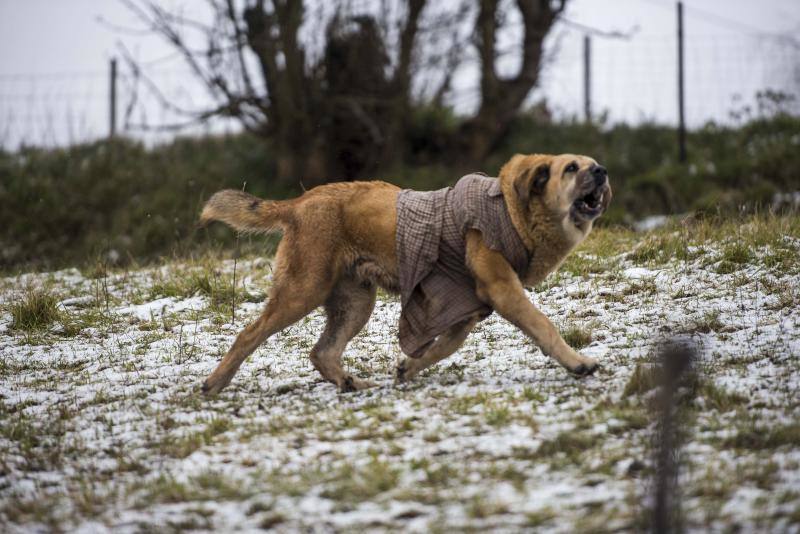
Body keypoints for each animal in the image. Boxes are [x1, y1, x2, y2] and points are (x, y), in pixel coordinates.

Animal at [200, 153, 612, 396]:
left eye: (591, 164)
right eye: (571, 168)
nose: (602, 170)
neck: (514, 212)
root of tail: (299, 203)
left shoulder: (465, 309)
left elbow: (442, 347)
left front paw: (406, 368)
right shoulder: (503, 291)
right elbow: (544, 325)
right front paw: (579, 363)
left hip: (355, 303)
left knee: (322, 352)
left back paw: (349, 382)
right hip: (302, 290)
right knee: (249, 334)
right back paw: (215, 383)